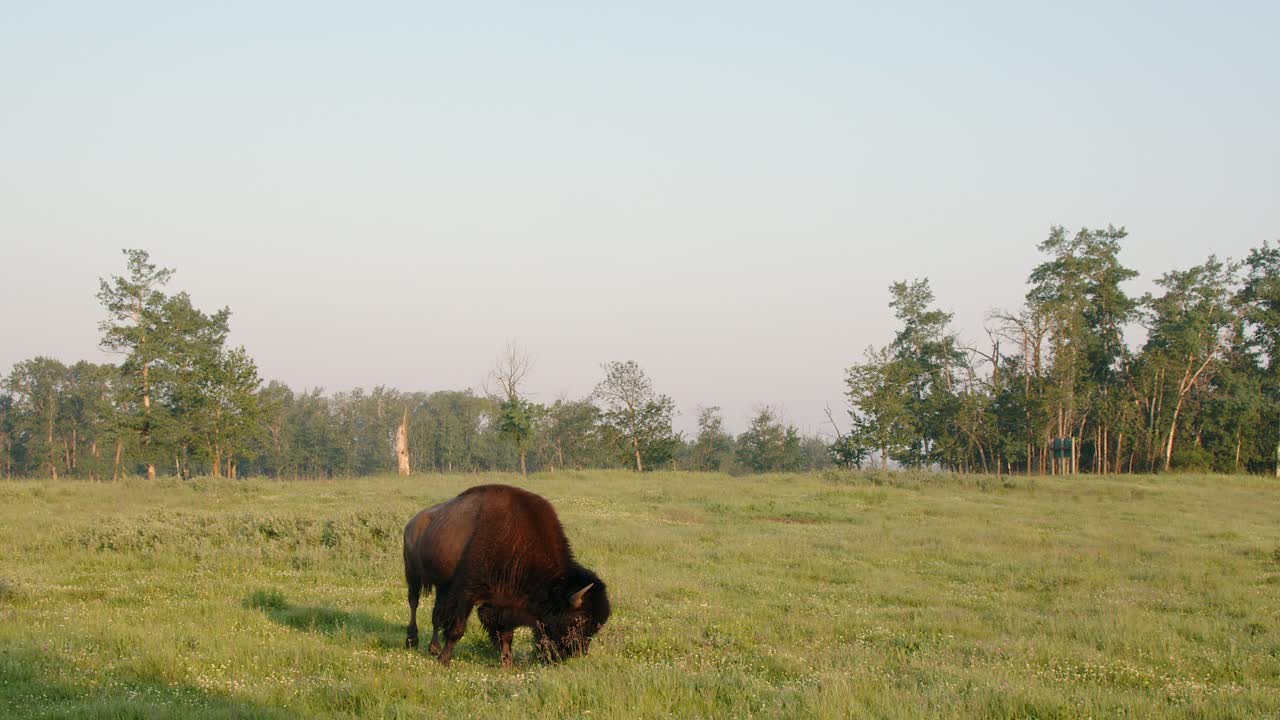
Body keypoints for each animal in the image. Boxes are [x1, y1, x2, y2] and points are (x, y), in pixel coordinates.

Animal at [402, 484, 611, 666]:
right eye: (577, 620)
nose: (576, 652)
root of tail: (412, 523)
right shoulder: (467, 593)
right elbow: (457, 629)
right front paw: (444, 661)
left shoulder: (505, 601)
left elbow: (506, 634)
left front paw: (507, 662)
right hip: (412, 574)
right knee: (414, 602)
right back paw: (412, 641)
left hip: (442, 586)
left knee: (436, 614)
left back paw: (434, 648)